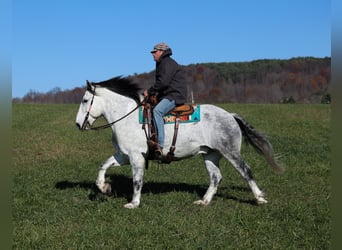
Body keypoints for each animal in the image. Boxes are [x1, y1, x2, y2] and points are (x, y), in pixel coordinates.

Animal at [75, 76, 284, 209]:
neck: (128, 117)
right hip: (210, 154)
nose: (78, 124)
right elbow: (103, 166)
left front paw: (133, 203)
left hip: (230, 152)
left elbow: (137, 180)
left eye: (85, 100)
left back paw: (259, 198)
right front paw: (104, 187)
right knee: (216, 177)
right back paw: (204, 202)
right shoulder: (123, 155)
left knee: (246, 171)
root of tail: (230, 115)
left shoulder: (136, 157)